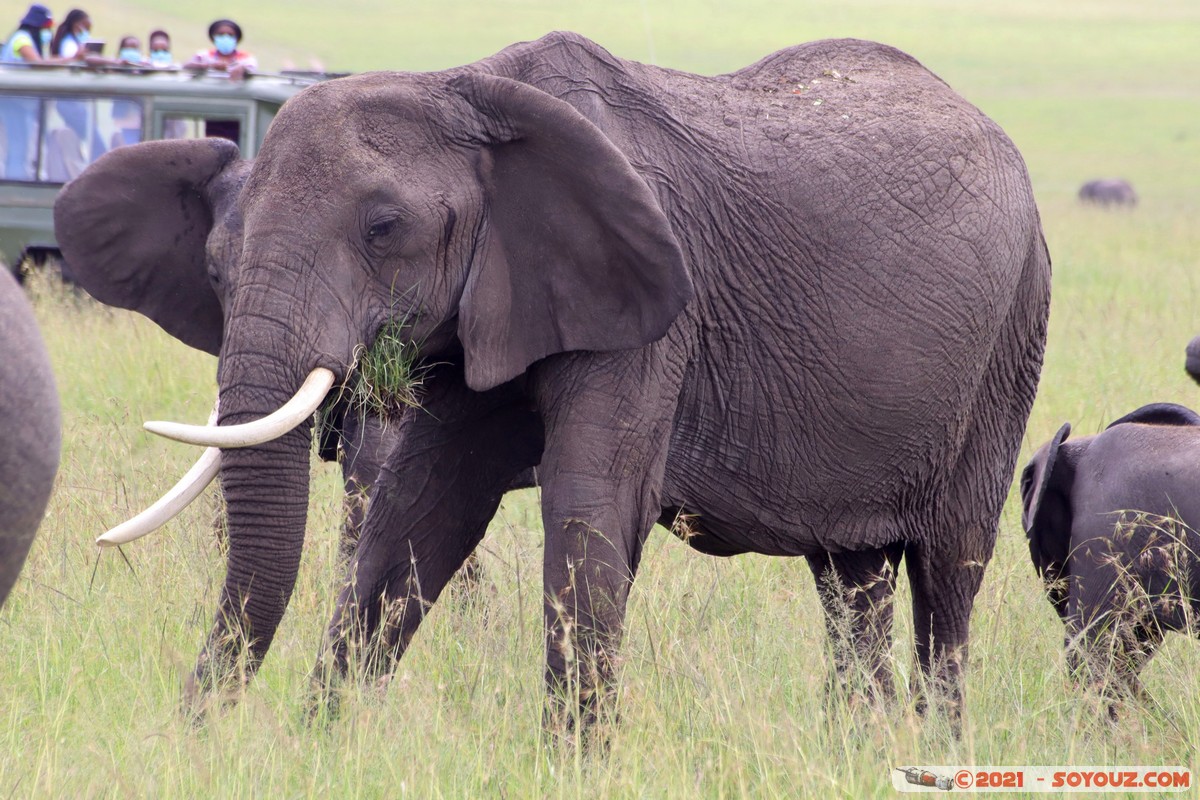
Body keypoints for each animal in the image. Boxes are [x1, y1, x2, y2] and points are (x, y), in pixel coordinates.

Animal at [54, 32, 1051, 734]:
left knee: (949, 574)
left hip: (1012, 337)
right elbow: (420, 510)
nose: (190, 728)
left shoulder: (651, 303)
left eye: (383, 228)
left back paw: (932, 746)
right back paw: (859, 744)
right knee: (851, 581)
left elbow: (589, 510)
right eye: (214, 270)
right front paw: (318, 744)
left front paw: (572, 762)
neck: (462, 86)